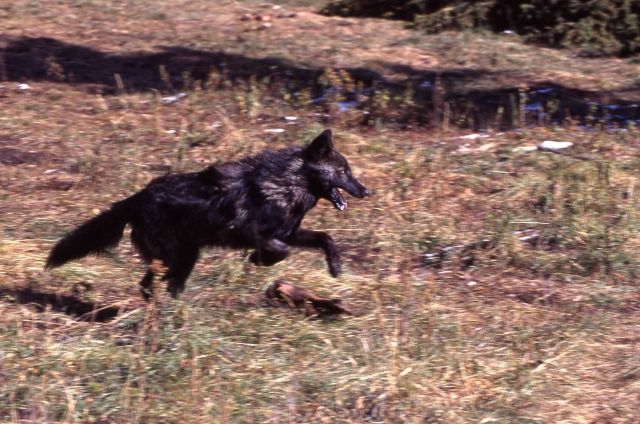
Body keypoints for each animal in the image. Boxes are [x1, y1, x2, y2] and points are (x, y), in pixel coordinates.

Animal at [46, 129, 369, 299]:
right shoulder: (249, 232)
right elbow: (281, 250)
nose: (366, 191)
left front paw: (335, 268)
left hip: (185, 257)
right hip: (178, 256)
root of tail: (137, 197)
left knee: (156, 284)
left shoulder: (290, 232)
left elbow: (325, 238)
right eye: (343, 172)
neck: (286, 184)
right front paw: (258, 260)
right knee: (153, 283)